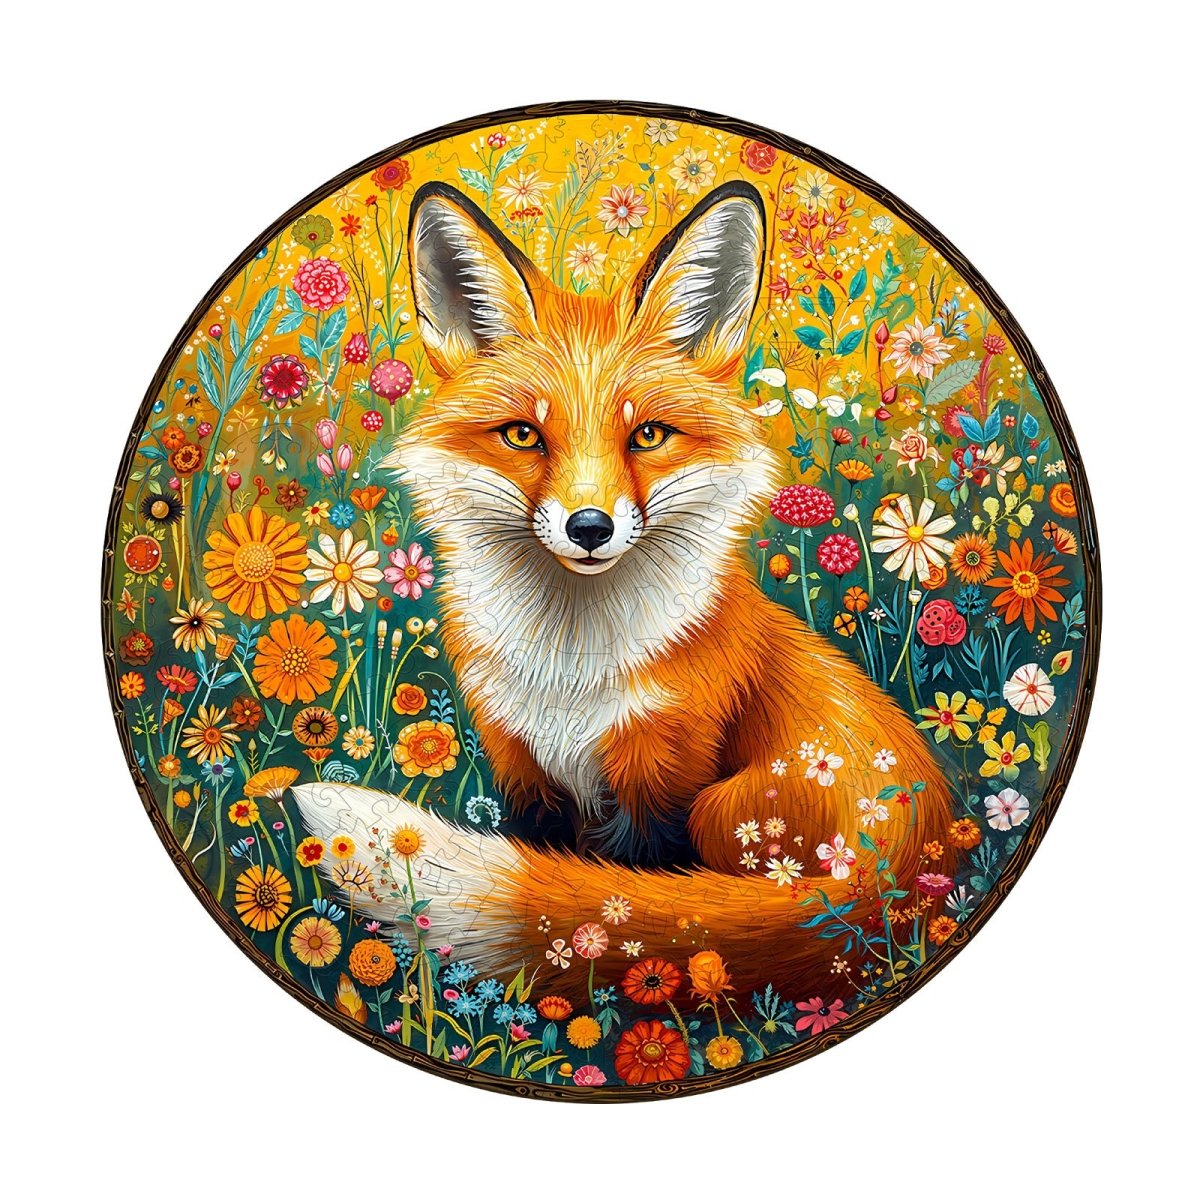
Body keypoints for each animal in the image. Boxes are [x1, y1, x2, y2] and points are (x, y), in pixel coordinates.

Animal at [291, 180, 955, 1001]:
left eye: (647, 435)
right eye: (523, 435)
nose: (589, 526)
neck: (568, 670)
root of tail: (905, 868)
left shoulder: (666, 768)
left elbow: (630, 902)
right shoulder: (516, 755)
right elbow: (553, 858)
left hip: (724, 809)